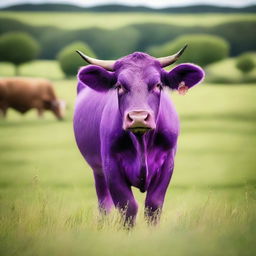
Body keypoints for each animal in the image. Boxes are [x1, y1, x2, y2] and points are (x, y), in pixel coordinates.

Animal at [73, 47, 204, 225]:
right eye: (119, 86)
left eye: (158, 85)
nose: (138, 118)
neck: (141, 143)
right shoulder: (110, 165)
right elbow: (128, 206)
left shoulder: (168, 162)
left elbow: (153, 206)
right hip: (97, 170)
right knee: (104, 204)